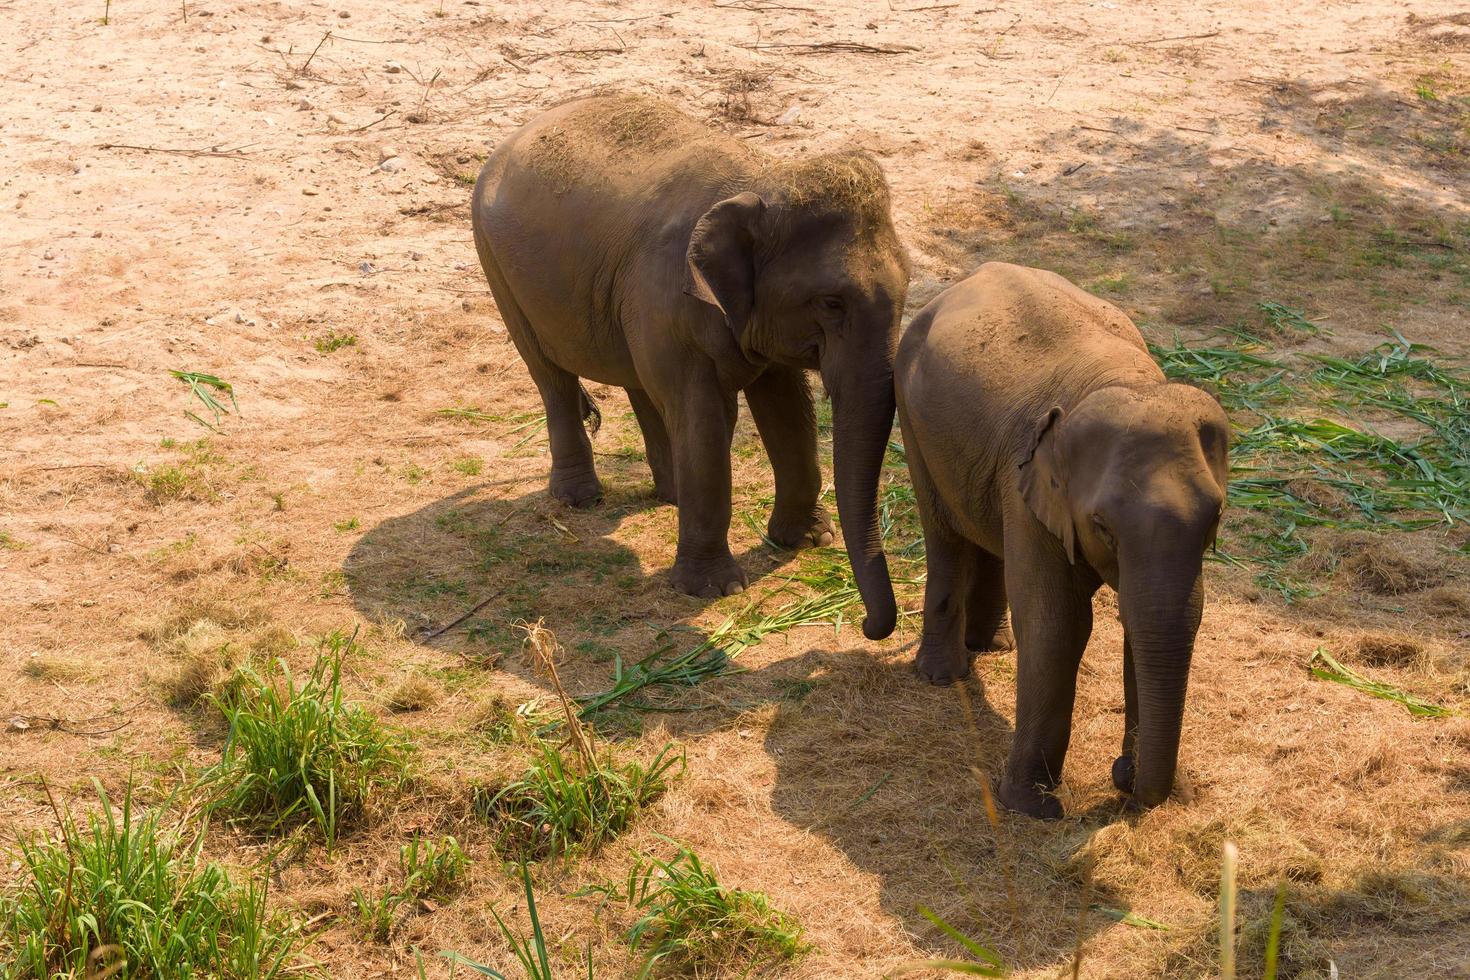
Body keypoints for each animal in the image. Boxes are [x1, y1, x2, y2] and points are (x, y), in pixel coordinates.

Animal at [470, 95, 905, 640]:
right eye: (831, 303)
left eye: (908, 287)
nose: (868, 625)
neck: (762, 177)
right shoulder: (666, 297)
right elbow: (703, 420)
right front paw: (716, 589)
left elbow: (788, 409)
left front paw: (806, 541)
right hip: (496, 266)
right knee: (551, 375)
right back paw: (581, 499)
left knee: (638, 381)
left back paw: (670, 495)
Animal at [893, 262, 1228, 822]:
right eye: (1103, 526)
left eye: (1215, 519)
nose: (1122, 775)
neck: (1119, 379)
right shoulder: (1029, 487)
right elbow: (1058, 623)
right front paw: (1033, 808)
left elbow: (1148, 621)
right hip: (910, 413)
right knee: (944, 533)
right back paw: (943, 675)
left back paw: (992, 646)